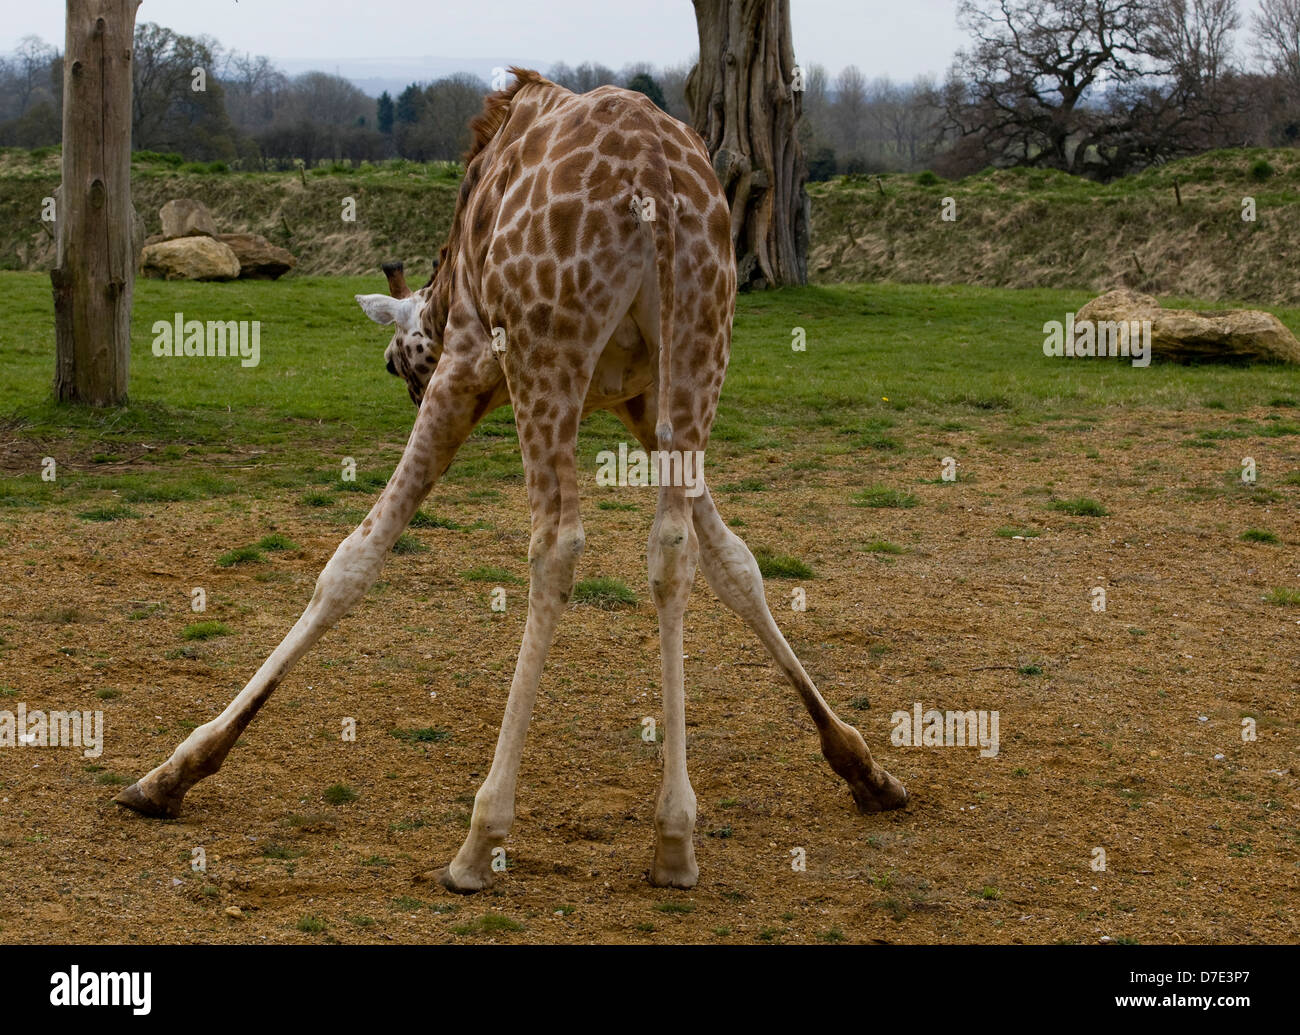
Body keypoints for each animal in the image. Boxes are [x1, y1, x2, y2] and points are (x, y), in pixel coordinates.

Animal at [116, 68, 909, 894]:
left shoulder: (468, 364)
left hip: (546, 353)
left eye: (396, 364)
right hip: (698, 348)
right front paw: (865, 767)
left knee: (557, 545)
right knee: (671, 551)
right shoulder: (640, 401)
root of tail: (658, 187)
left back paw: (480, 836)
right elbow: (735, 563)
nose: (407, 379)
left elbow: (353, 559)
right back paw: (674, 836)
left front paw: (172, 771)